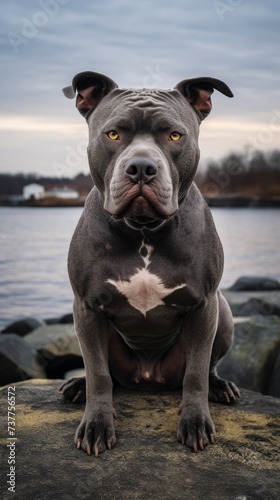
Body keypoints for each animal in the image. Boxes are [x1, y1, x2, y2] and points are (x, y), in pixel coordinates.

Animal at [60, 70, 240, 458]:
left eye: (174, 135)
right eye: (113, 134)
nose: (141, 167)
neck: (143, 229)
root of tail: (148, 378)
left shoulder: (205, 304)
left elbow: (196, 372)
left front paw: (195, 421)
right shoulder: (86, 307)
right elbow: (98, 373)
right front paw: (97, 423)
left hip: (224, 312)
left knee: (208, 367)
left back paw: (220, 387)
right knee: (107, 374)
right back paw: (77, 385)